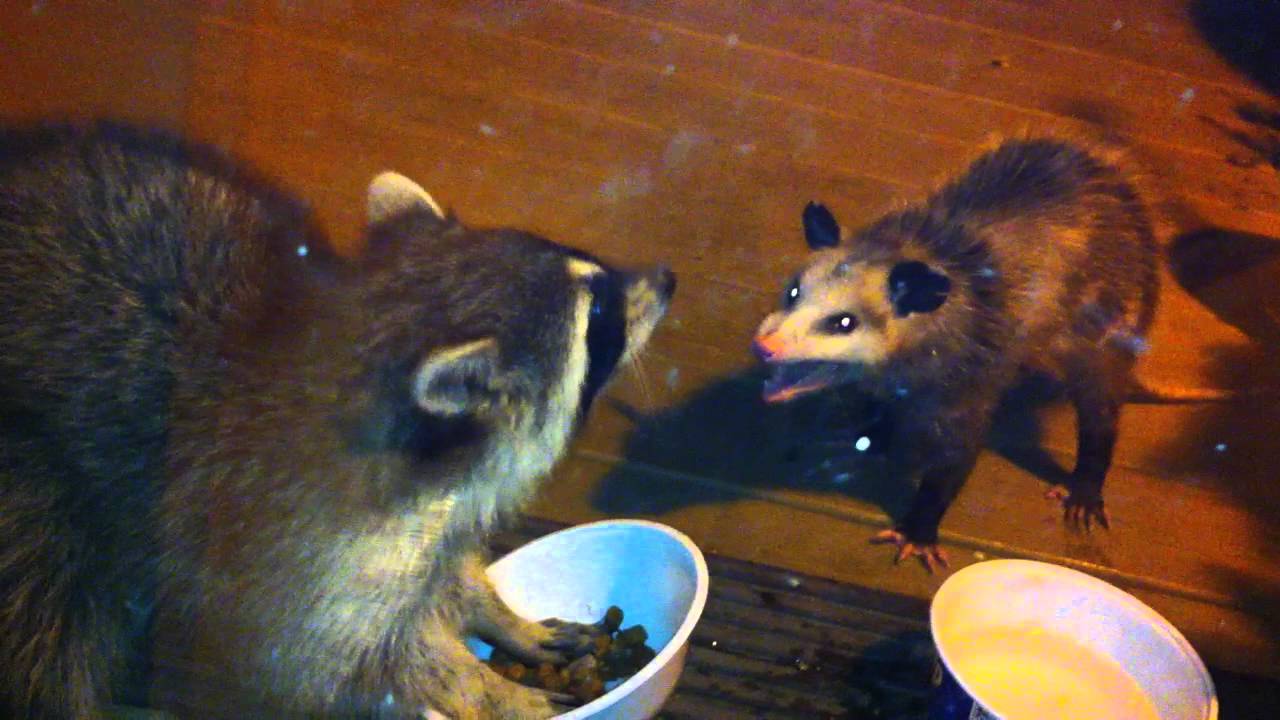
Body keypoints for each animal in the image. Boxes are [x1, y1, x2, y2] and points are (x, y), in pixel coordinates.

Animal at [0, 123, 674, 718]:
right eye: (600, 314)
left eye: (585, 263)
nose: (666, 278)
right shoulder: (274, 547)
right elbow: (329, 661)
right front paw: (481, 685)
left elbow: (442, 577)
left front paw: (494, 611)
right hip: (38, 490)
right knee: (43, 611)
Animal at [753, 137, 1159, 572]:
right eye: (794, 291)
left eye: (843, 323)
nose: (766, 347)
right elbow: (883, 407)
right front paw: (871, 435)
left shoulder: (973, 372)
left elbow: (957, 455)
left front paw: (918, 532)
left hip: (1104, 328)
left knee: (1100, 406)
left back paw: (1085, 486)